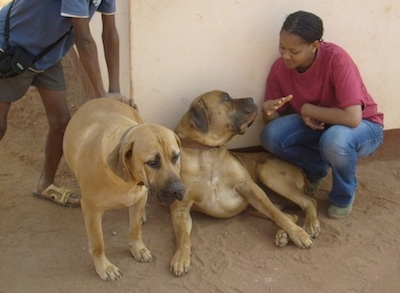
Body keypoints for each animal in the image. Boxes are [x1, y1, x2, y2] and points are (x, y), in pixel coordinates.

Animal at [62, 97, 184, 280]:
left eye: (176, 156)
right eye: (152, 162)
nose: (178, 190)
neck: (125, 178)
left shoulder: (139, 198)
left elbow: (135, 229)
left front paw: (137, 248)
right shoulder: (91, 210)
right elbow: (98, 243)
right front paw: (104, 267)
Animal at [170, 90, 320, 274]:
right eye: (226, 98)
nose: (251, 98)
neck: (207, 153)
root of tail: (300, 169)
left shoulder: (250, 188)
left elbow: (276, 214)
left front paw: (298, 234)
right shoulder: (180, 208)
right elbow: (183, 235)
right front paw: (180, 256)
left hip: (266, 172)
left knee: (306, 202)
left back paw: (309, 225)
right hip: (254, 208)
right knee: (291, 214)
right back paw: (282, 234)